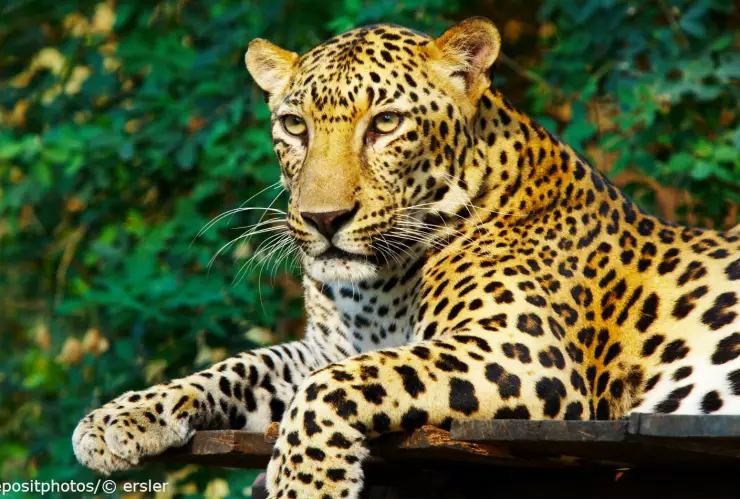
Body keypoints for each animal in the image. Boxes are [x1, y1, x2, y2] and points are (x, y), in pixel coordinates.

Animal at [73, 17, 740, 499]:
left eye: (386, 123)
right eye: (294, 126)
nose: (323, 219)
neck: (376, 287)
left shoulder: (522, 349)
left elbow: (332, 385)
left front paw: (306, 484)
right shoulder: (325, 346)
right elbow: (239, 366)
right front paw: (118, 418)